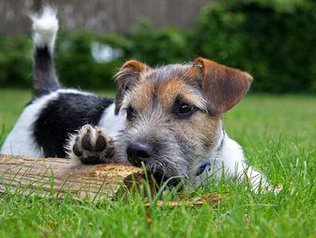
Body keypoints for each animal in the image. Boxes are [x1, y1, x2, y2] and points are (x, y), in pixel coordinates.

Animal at [1, 6, 274, 192]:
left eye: (184, 108)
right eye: (130, 112)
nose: (136, 151)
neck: (197, 173)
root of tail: (48, 93)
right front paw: (92, 149)